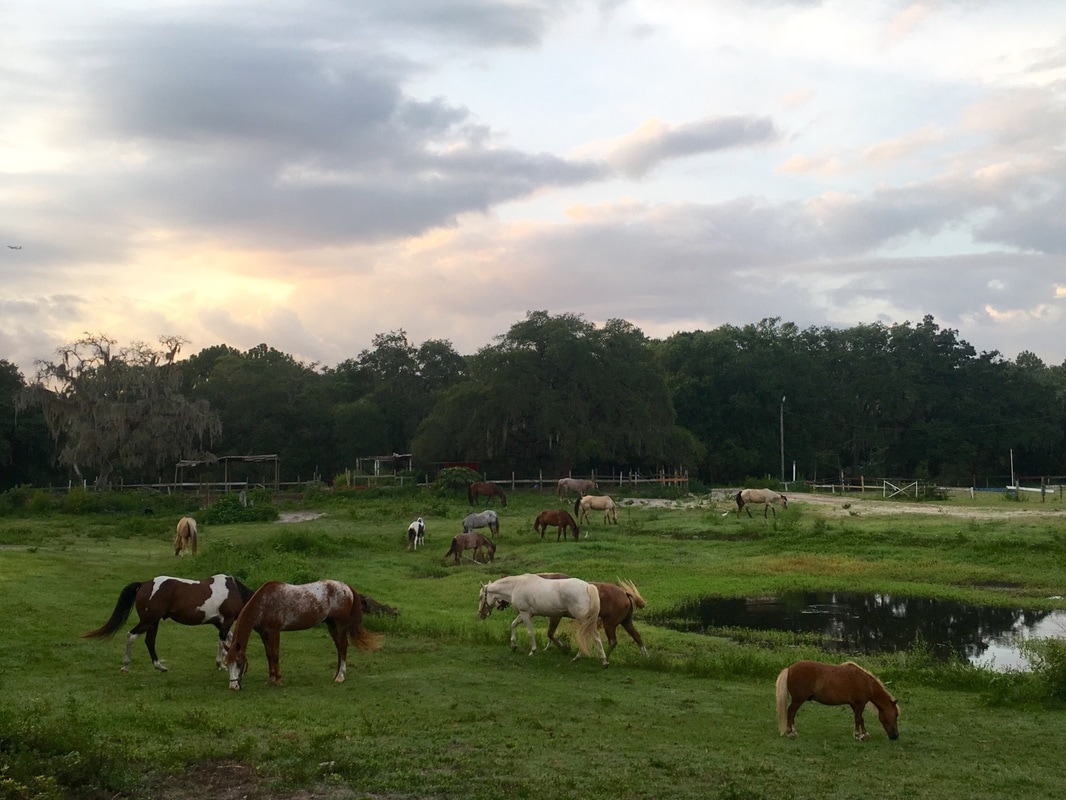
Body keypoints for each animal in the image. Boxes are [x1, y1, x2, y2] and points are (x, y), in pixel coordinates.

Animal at [82, 571, 252, 674]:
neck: (235, 592)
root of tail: (143, 584)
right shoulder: (226, 620)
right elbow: (222, 641)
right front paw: (221, 664)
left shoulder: (218, 622)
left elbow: (229, 639)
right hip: (148, 621)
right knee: (131, 636)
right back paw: (126, 665)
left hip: (153, 622)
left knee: (149, 641)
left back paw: (159, 666)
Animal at [220, 580, 379, 691]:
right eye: (227, 664)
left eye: (239, 663)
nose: (233, 687)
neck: (264, 603)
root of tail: (347, 587)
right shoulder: (264, 634)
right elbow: (269, 655)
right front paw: (270, 679)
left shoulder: (274, 631)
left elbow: (275, 655)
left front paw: (278, 680)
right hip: (331, 625)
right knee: (340, 647)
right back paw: (336, 674)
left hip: (340, 625)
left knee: (344, 646)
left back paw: (340, 676)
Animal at [477, 571, 609, 665]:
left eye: (480, 597)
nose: (480, 614)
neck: (516, 586)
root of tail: (588, 586)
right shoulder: (526, 614)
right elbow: (513, 624)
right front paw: (513, 646)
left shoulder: (525, 614)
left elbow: (530, 632)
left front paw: (533, 651)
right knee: (592, 636)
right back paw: (600, 660)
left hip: (583, 619)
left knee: (589, 636)